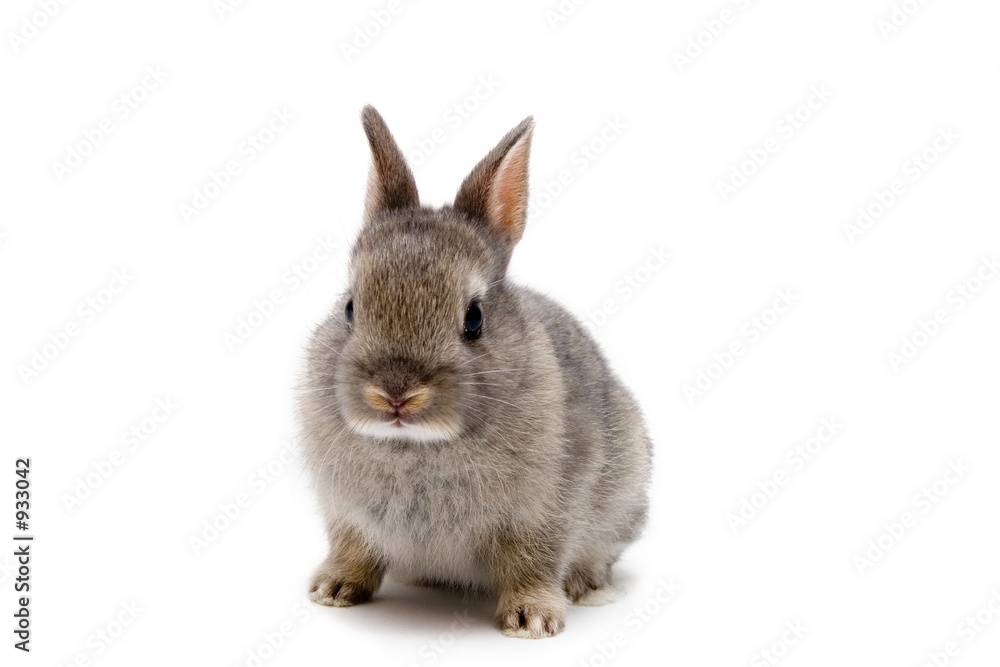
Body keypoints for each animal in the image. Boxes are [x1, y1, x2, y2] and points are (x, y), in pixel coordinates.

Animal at [298, 105, 652, 639]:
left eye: (474, 318)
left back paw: (589, 586)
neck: (416, 445)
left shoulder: (544, 514)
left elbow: (533, 563)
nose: (396, 394)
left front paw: (532, 620)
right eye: (350, 308)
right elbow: (353, 550)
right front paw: (333, 590)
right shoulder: (347, 517)